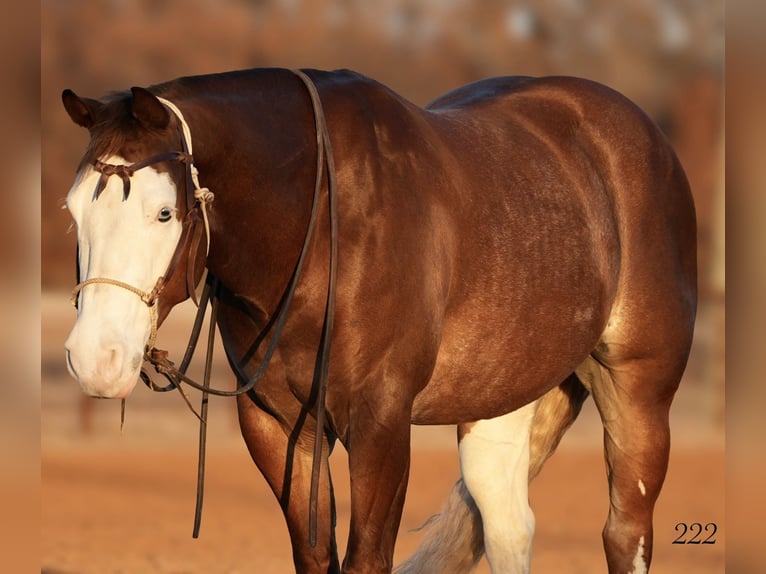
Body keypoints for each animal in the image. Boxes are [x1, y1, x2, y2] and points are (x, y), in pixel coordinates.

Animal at [61, 68, 696, 573]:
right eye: (72, 212)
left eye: (163, 212)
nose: (96, 360)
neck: (321, 223)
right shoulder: (279, 426)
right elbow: (316, 556)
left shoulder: (380, 423)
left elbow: (367, 558)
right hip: (500, 404)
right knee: (509, 527)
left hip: (637, 397)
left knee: (625, 534)